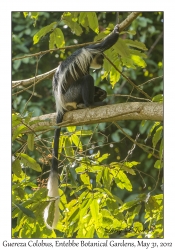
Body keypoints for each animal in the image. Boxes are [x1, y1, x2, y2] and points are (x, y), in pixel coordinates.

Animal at [43, 23, 119, 229]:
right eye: (100, 58)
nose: (102, 61)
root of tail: (61, 105)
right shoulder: (89, 51)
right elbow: (103, 44)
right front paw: (116, 32)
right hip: (71, 93)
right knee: (86, 80)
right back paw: (91, 104)